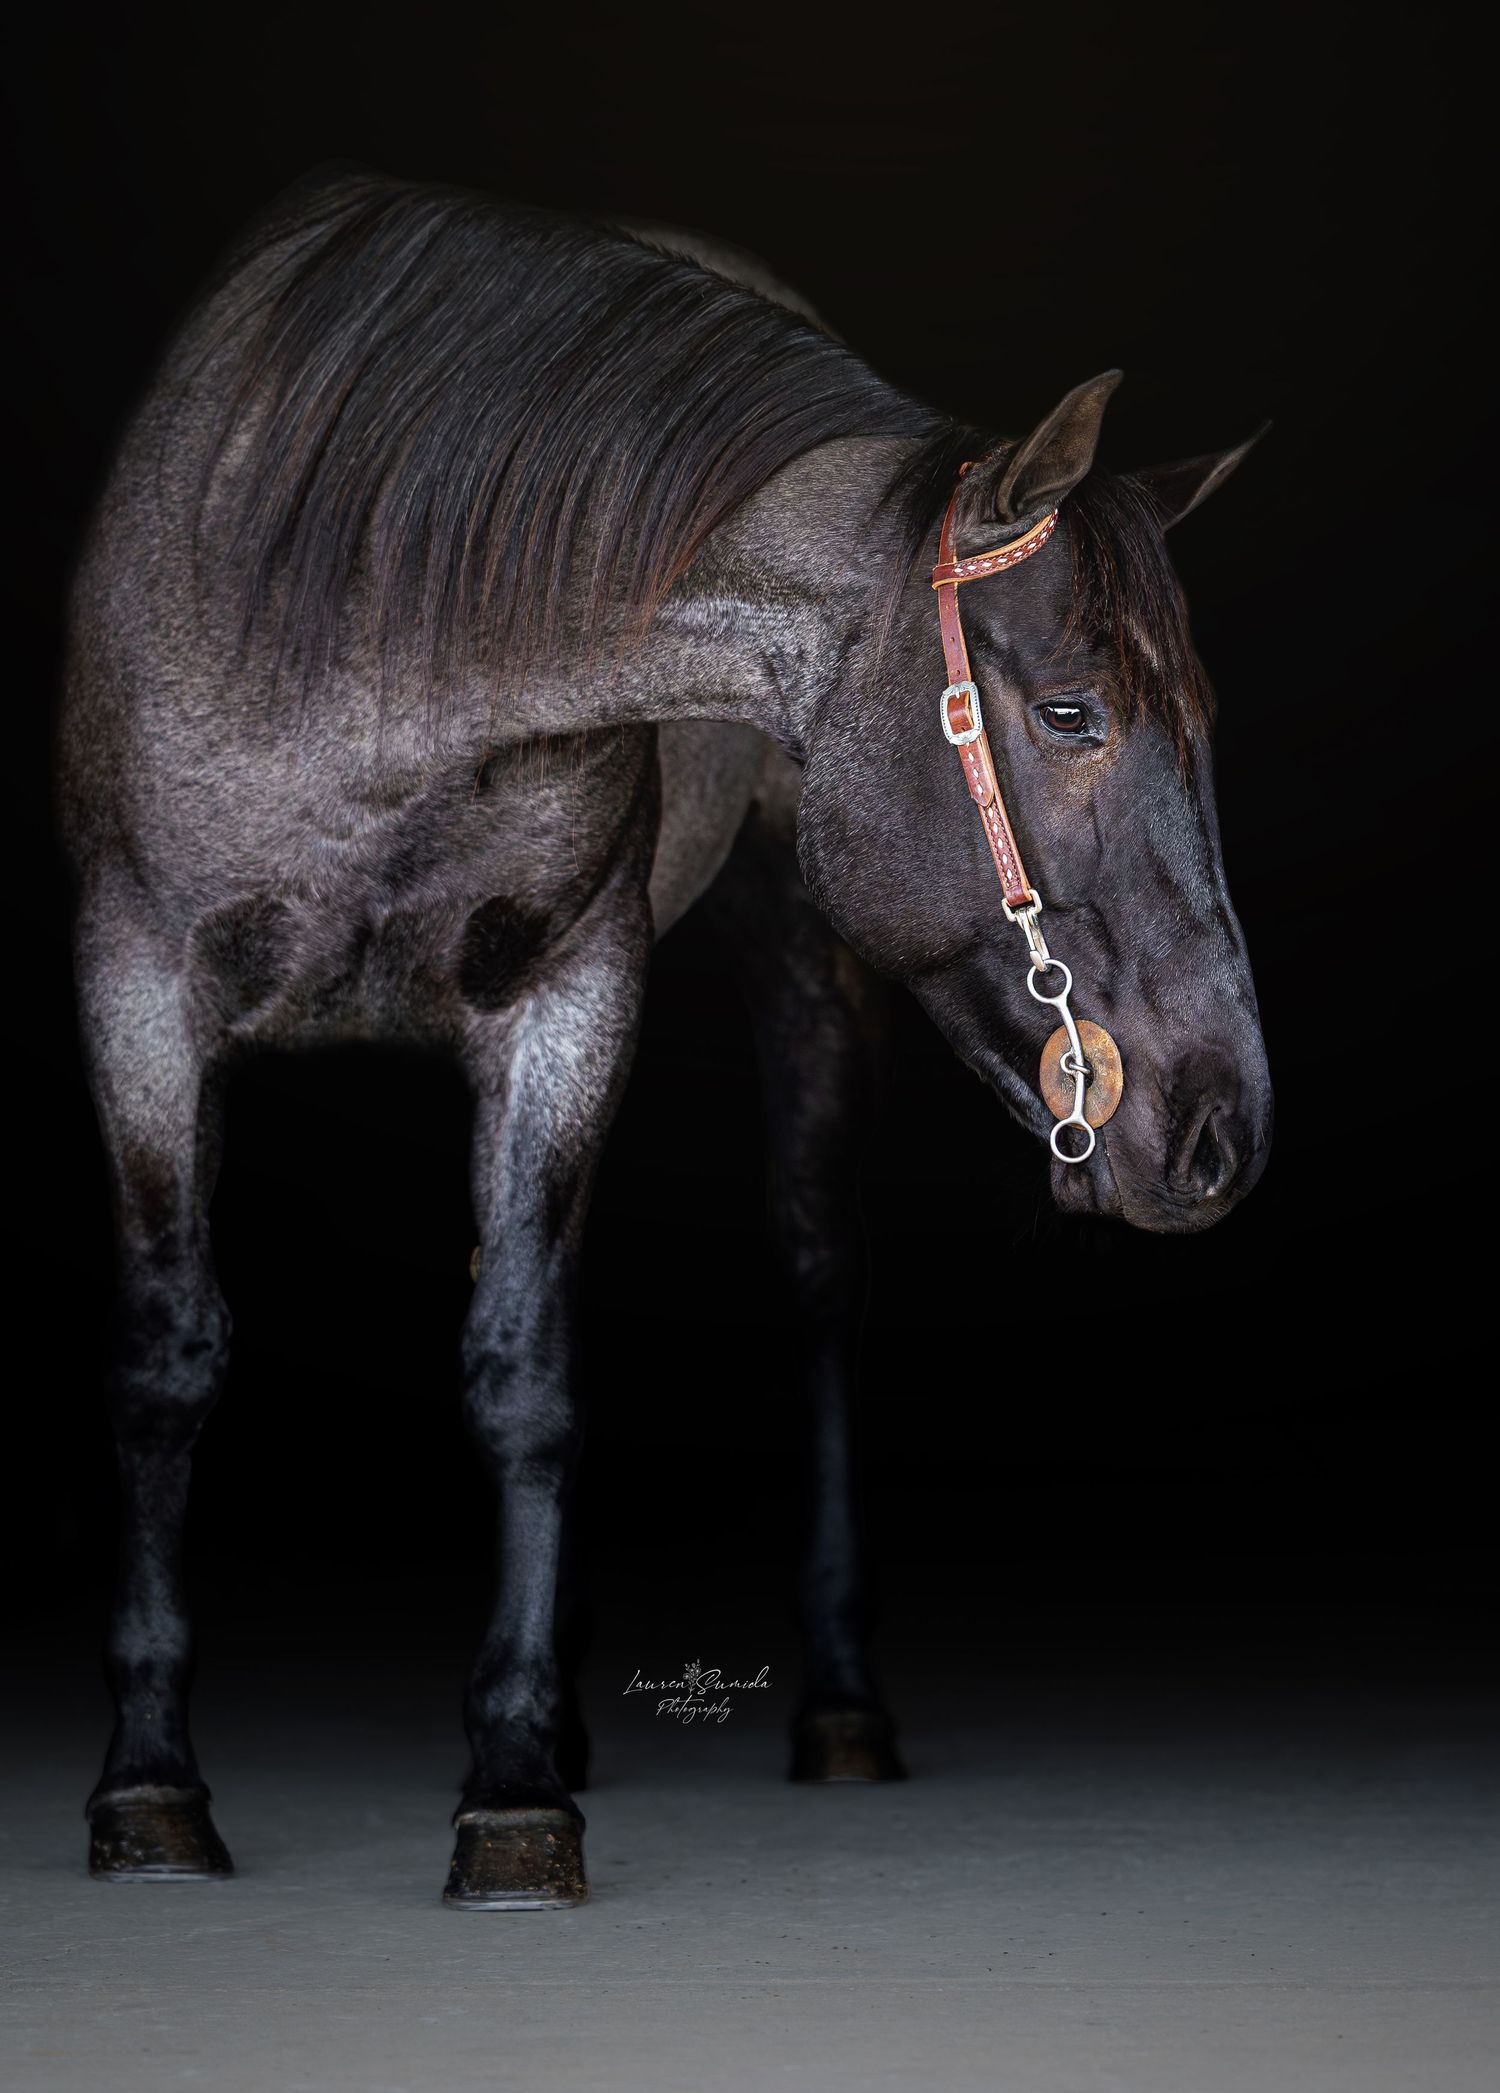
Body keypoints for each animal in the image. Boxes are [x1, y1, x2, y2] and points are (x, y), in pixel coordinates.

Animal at [58, 169, 1272, 1908]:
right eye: (1070, 716)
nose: (1224, 1126)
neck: (360, 619)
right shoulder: (136, 989)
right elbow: (167, 1359)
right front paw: (150, 1785)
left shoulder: (568, 998)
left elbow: (522, 1371)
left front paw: (511, 1796)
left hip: (801, 960)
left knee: (817, 1284)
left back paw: (833, 1705)